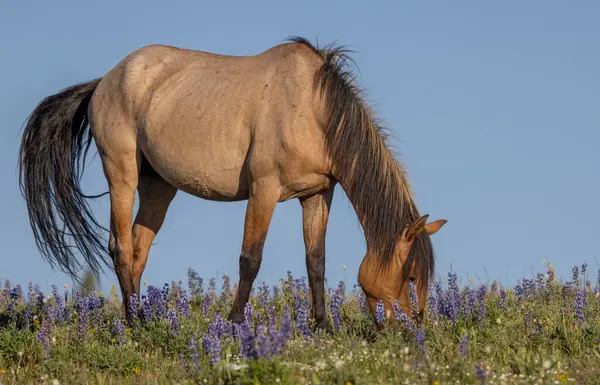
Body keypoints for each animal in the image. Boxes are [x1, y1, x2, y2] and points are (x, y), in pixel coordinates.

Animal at [17, 36, 446, 328]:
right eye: (411, 276)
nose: (412, 331)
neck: (314, 109)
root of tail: (104, 81)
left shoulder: (317, 194)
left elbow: (316, 261)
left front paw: (322, 326)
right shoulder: (264, 190)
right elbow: (250, 260)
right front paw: (236, 322)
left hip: (158, 186)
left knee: (138, 249)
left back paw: (143, 318)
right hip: (122, 173)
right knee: (120, 247)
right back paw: (135, 326)